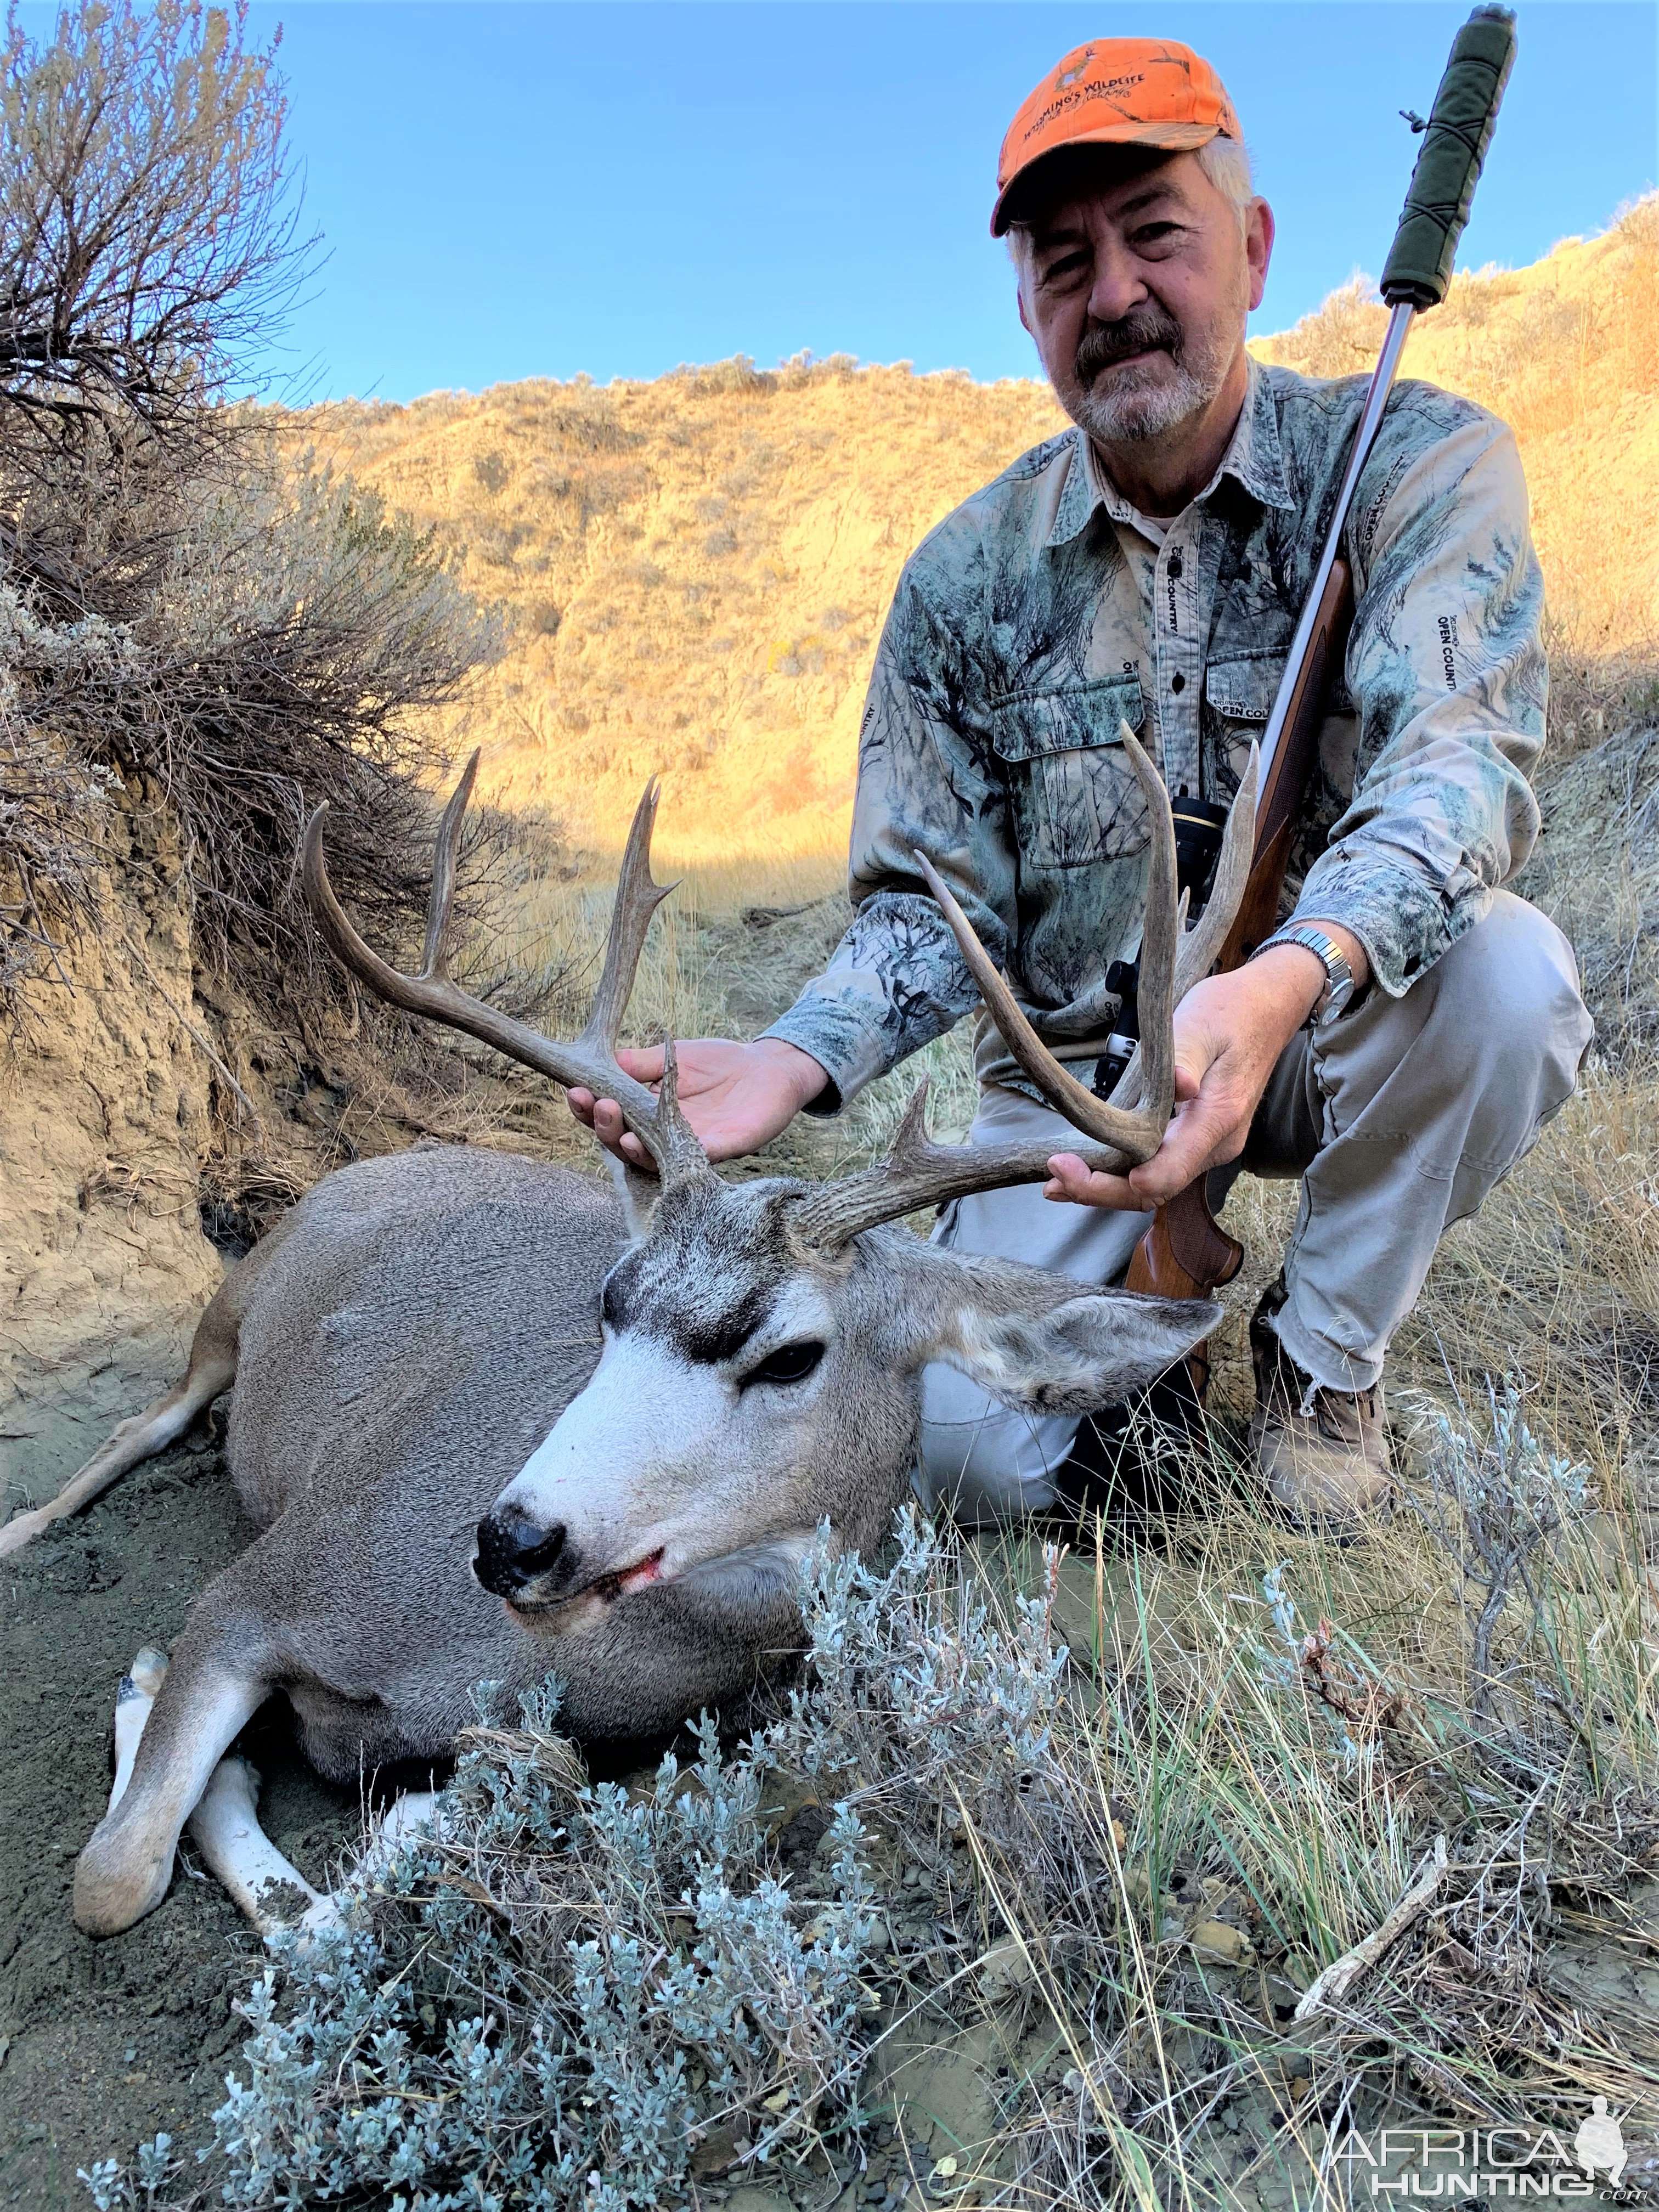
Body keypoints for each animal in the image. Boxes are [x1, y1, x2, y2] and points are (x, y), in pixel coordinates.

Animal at [45, 730, 1256, 1938]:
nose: (514, 1540)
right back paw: (38, 1526)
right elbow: (112, 1879)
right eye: (610, 1300)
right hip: (232, 1314)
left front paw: (226, 1752)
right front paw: (150, 1696)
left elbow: (357, 1877)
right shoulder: (266, 1582)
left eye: (792, 1355)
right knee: (140, 1425)